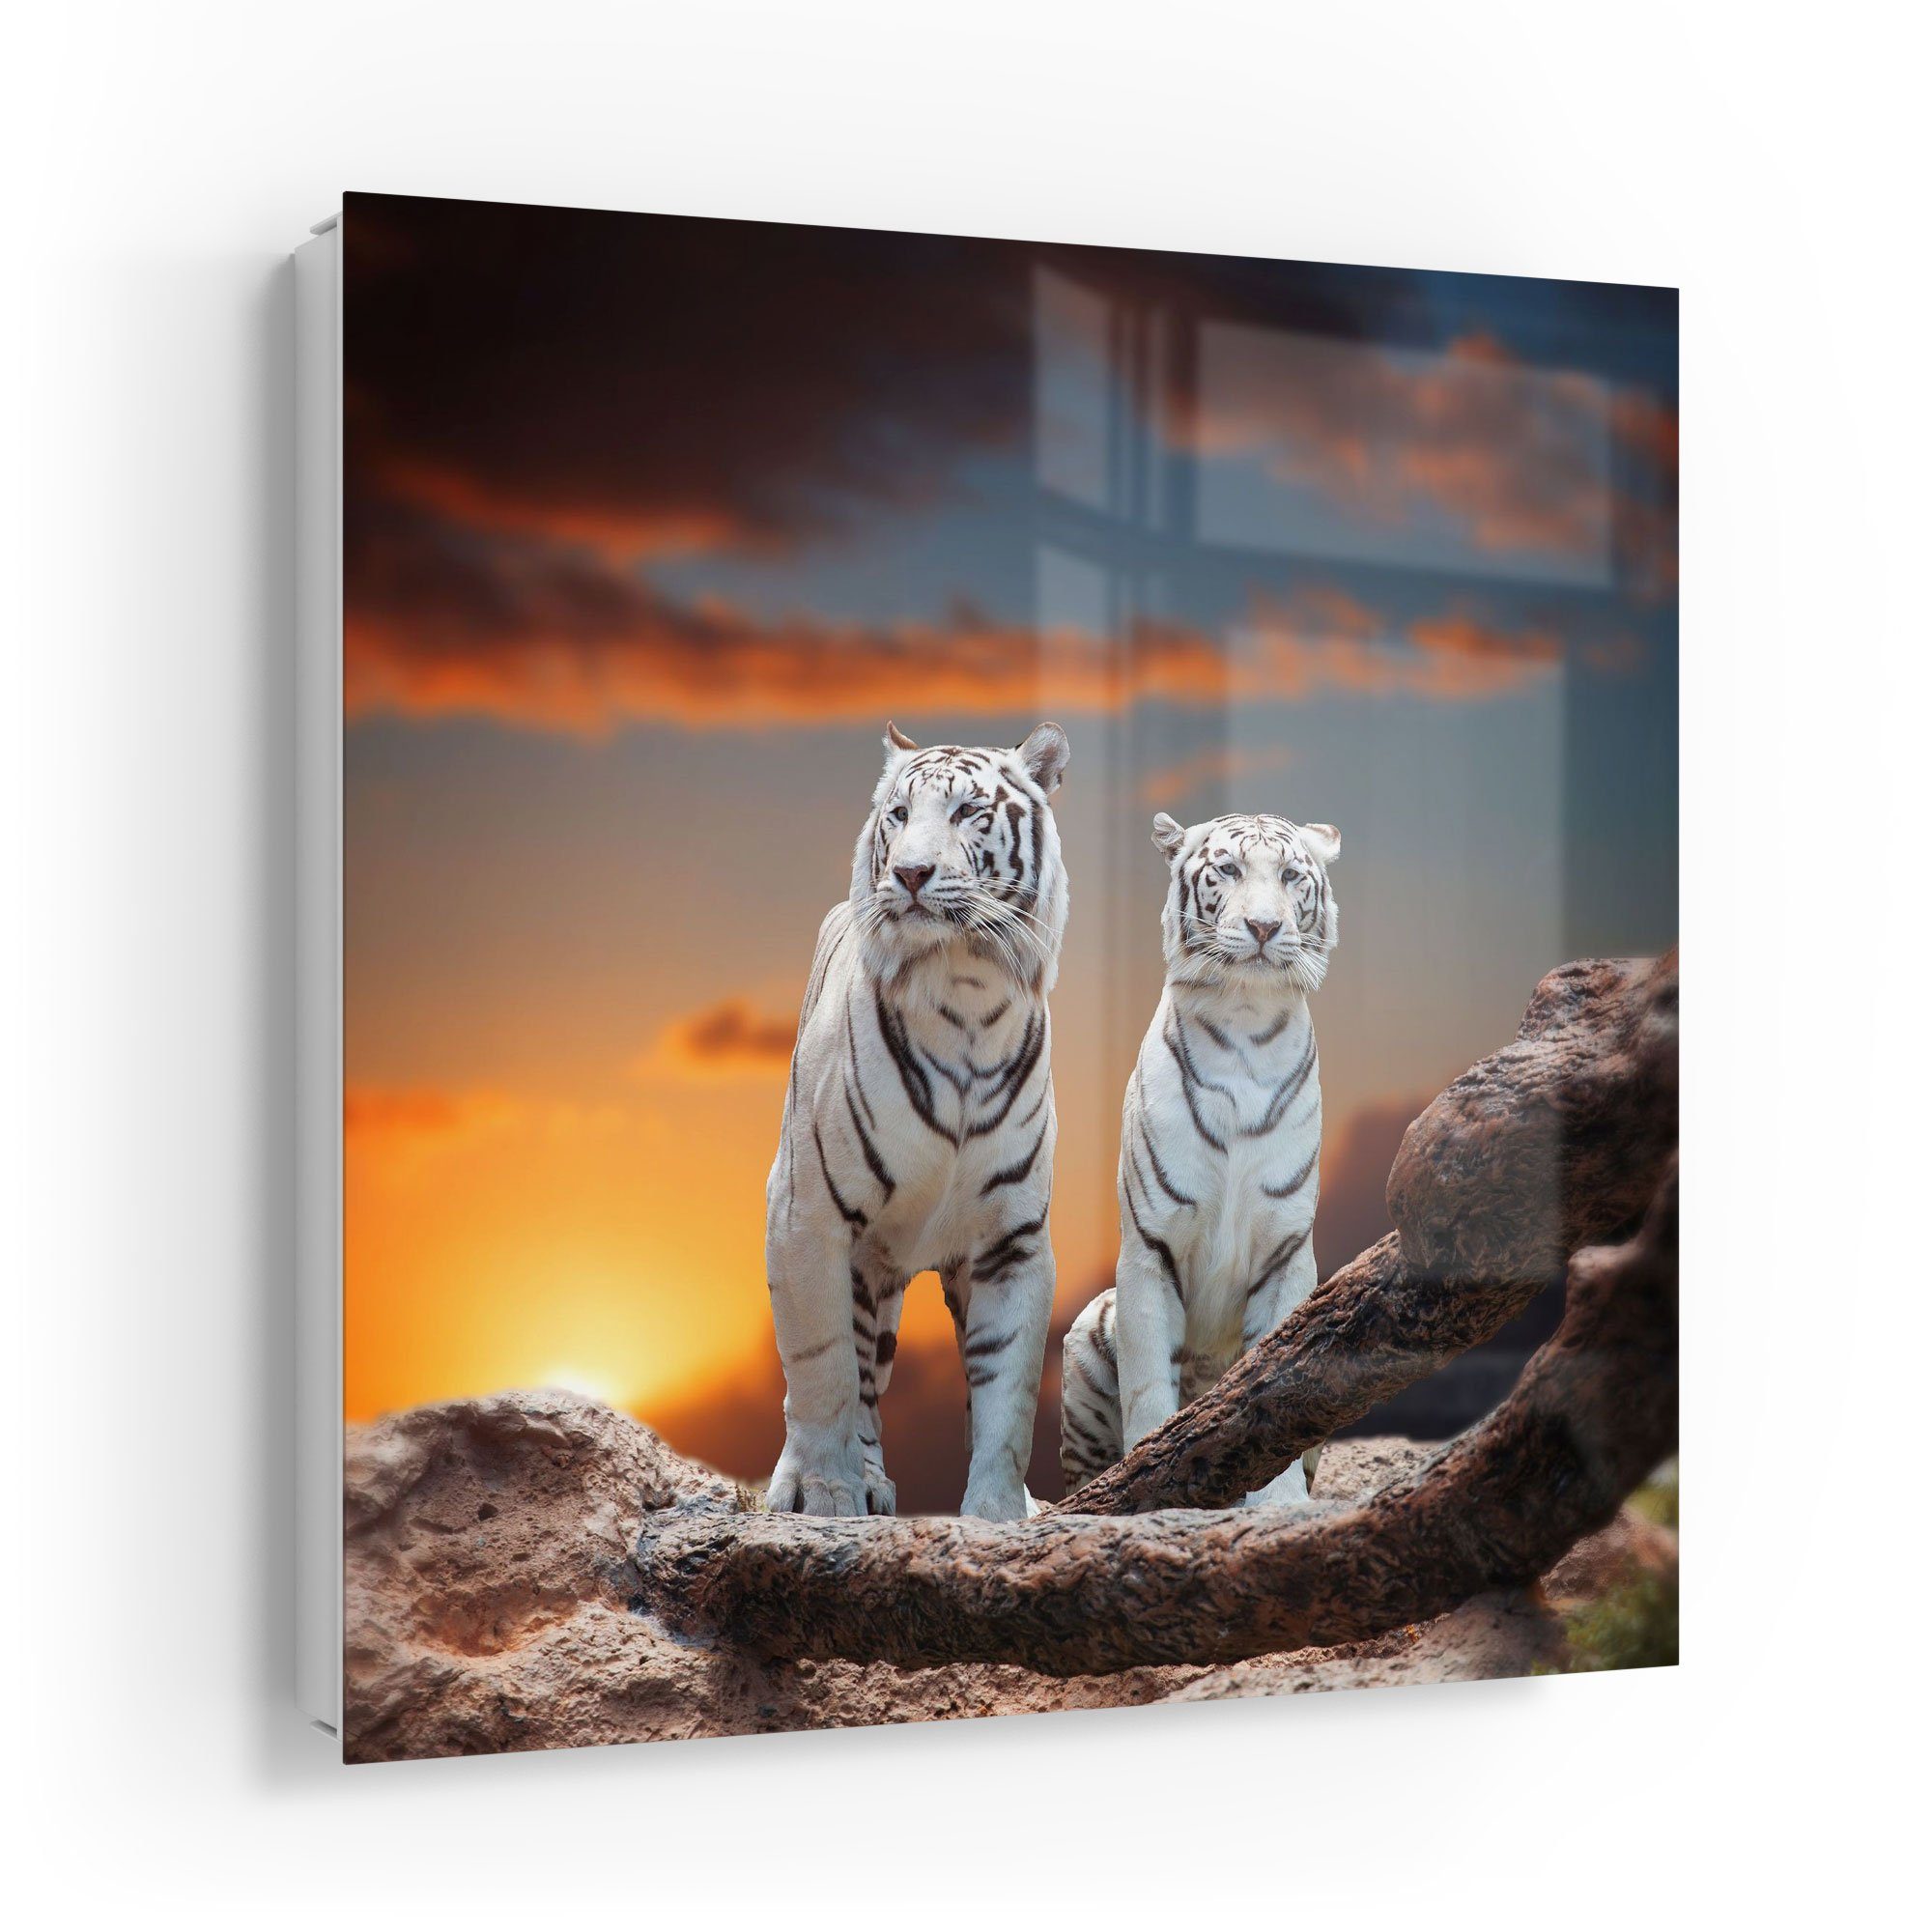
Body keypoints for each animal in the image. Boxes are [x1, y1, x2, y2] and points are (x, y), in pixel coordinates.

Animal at [764, 719, 1071, 1520]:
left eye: (968, 812)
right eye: (898, 815)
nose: (909, 874)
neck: (965, 989)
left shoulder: (1013, 1239)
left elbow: (1007, 1392)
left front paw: (999, 1513)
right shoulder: (806, 1214)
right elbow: (823, 1372)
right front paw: (826, 1494)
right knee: (854, 1376)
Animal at [1059, 809, 1340, 1506]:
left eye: (1290, 876)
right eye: (1229, 870)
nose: (1264, 926)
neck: (1245, 1023)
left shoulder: (1287, 1252)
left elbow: (1280, 1380)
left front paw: (1279, 1503)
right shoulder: (1148, 1248)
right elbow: (1147, 1386)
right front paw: (1147, 1478)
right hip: (1087, 1331)